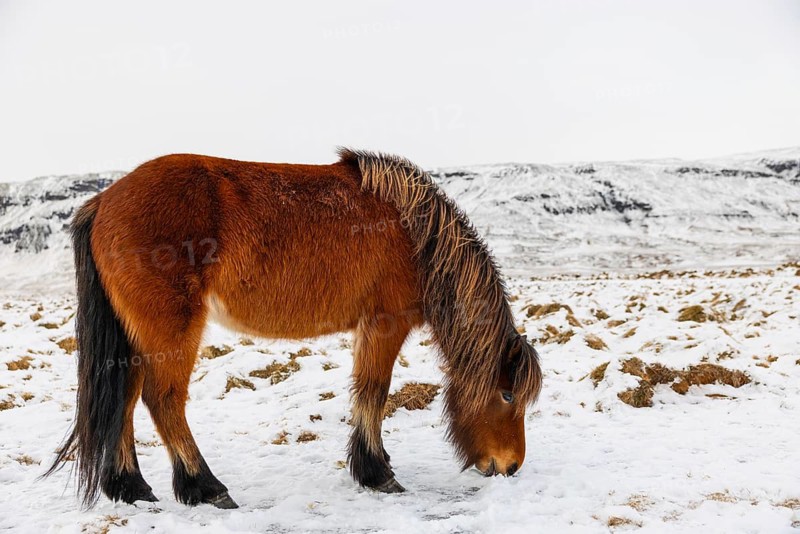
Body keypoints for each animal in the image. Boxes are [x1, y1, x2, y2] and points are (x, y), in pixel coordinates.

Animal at [44, 148, 542, 509]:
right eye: (507, 395)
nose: (512, 466)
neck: (418, 234)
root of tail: (103, 202)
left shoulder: (368, 327)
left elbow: (365, 391)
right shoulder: (386, 322)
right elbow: (374, 390)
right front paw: (377, 474)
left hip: (135, 335)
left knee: (125, 400)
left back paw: (131, 487)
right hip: (171, 330)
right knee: (161, 400)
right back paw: (205, 487)